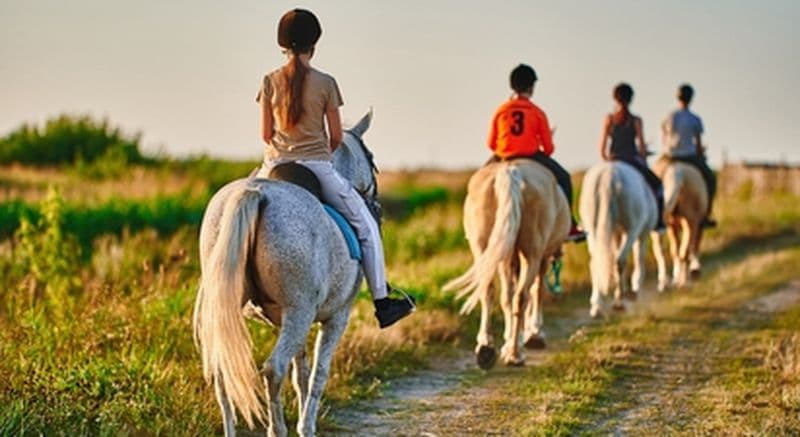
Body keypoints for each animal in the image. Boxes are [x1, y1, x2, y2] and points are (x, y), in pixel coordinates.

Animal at [193, 111, 378, 437]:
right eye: (371, 158)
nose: (376, 203)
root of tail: (254, 193)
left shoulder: (295, 323)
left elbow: (301, 374)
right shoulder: (336, 317)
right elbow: (318, 373)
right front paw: (307, 426)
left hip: (244, 313)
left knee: (223, 370)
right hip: (299, 314)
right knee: (273, 368)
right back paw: (277, 429)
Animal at [443, 160, 570, 369]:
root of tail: (510, 172)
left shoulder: (506, 256)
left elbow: (506, 297)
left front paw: (509, 339)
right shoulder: (542, 257)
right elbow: (537, 290)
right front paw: (533, 334)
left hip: (484, 248)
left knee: (489, 290)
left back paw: (486, 348)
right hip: (532, 253)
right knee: (522, 296)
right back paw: (515, 354)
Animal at [578, 161, 668, 318]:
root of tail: (608, 176)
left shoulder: (616, 234)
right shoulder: (642, 233)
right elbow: (639, 260)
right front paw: (634, 289)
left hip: (593, 231)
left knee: (595, 263)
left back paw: (597, 306)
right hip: (632, 230)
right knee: (620, 260)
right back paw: (619, 301)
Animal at [652, 158, 709, 287]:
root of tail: (675, 170)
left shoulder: (671, 225)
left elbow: (675, 250)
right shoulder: (696, 222)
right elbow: (690, 247)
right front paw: (693, 270)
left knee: (661, 250)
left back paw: (665, 281)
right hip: (690, 220)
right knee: (684, 252)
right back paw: (684, 279)